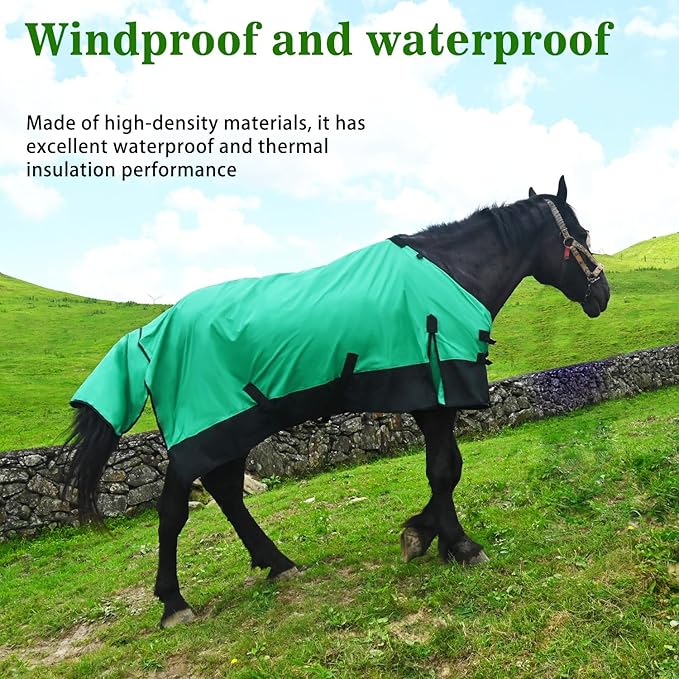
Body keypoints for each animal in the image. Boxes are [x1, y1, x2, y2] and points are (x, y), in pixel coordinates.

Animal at [63, 176, 610, 628]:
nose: (601, 295)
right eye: (581, 234)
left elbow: (445, 471)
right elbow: (445, 471)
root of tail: (151, 332)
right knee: (175, 510)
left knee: (227, 493)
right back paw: (175, 603)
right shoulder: (435, 399)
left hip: (234, 429)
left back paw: (278, 564)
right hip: (201, 433)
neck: (451, 274)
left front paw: (422, 534)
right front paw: (457, 544)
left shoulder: (431, 400)